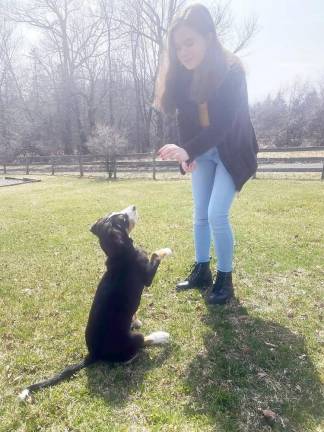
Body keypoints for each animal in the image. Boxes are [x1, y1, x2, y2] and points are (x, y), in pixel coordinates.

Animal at [19, 206, 172, 402]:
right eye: (122, 218)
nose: (134, 207)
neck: (119, 254)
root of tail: (93, 354)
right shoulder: (147, 277)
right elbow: (155, 255)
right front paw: (166, 250)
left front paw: (135, 320)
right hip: (134, 340)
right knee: (140, 344)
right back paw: (160, 337)